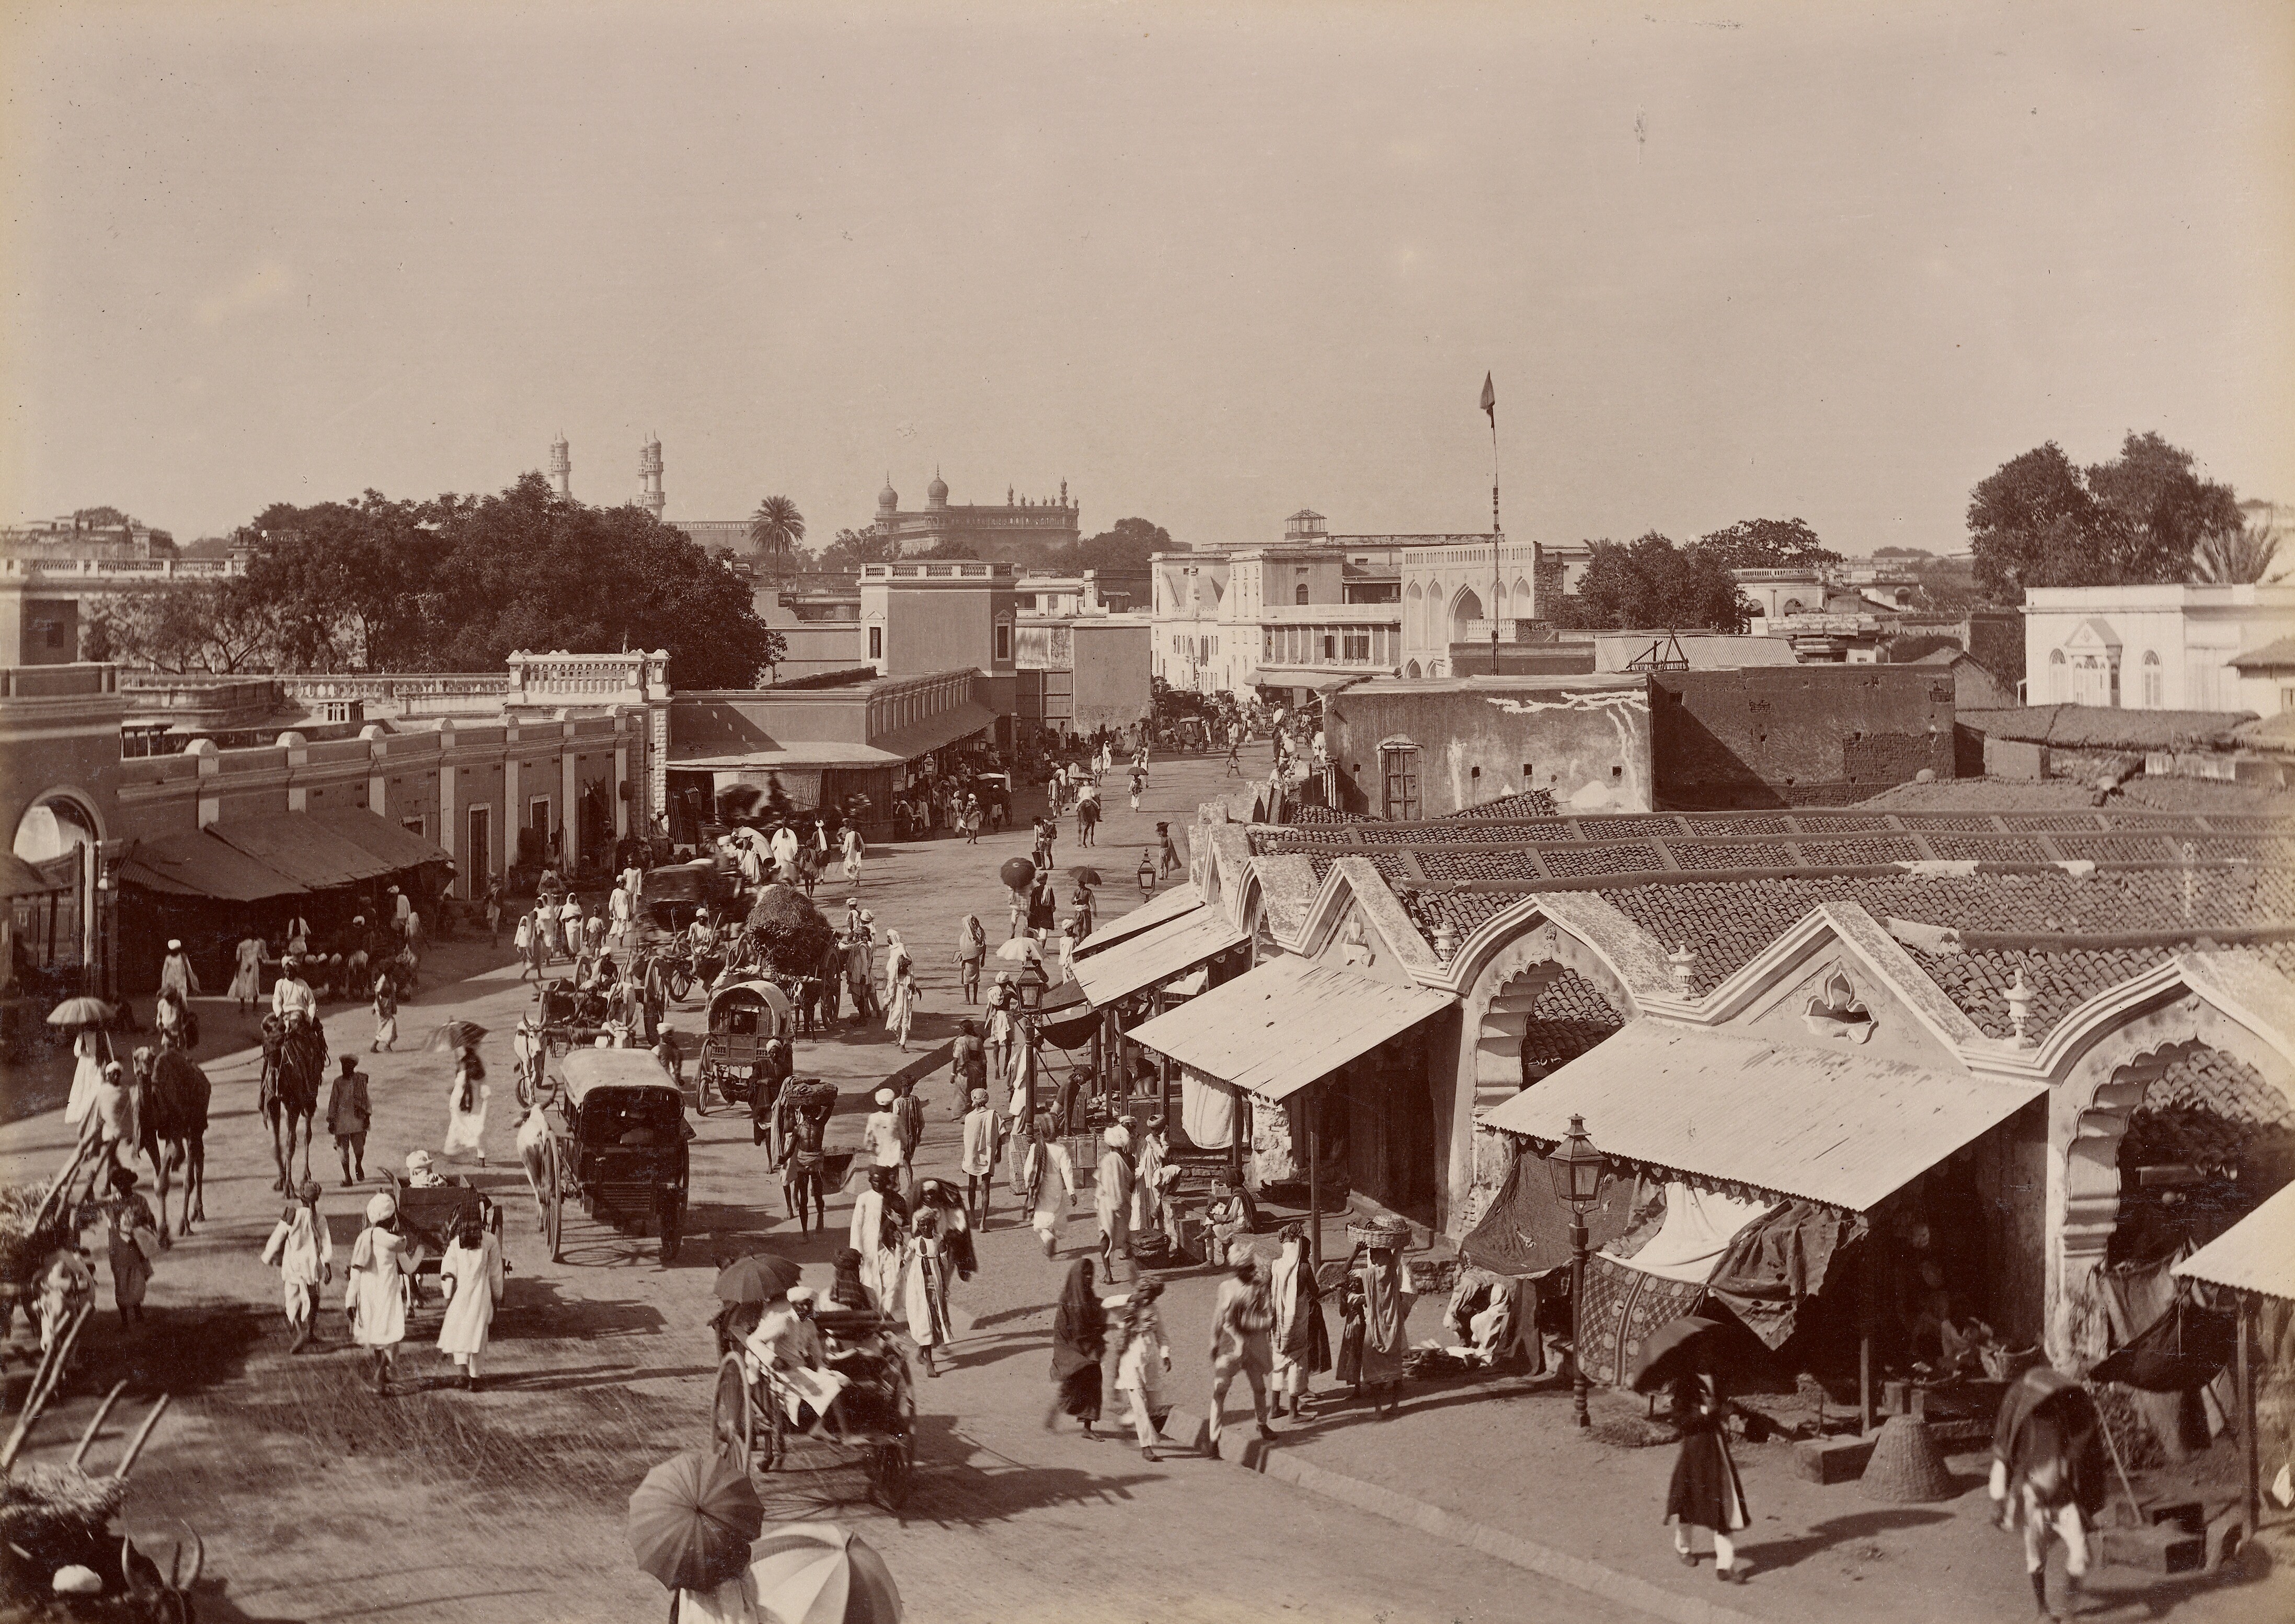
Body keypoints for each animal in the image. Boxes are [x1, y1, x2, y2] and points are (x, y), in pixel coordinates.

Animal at [131, 1046, 212, 1238]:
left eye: (151, 1057)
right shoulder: (149, 1138)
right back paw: (196, 1213)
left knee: (191, 1172)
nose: (144, 1070)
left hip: (196, 1122)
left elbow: (169, 1173)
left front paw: (165, 1231)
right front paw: (162, 1232)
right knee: (199, 1157)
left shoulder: (174, 1131)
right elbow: (159, 1183)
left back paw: (187, 1223)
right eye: (135, 1058)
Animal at [259, 1013, 326, 1192]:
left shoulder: (294, 1104)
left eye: (281, 1041)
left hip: (310, 1094)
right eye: (265, 1042)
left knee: (306, 1134)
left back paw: (306, 1176)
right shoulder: (273, 1103)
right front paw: (281, 1180)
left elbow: (290, 1144)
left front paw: (289, 1187)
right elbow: (277, 1144)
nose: (272, 1061)